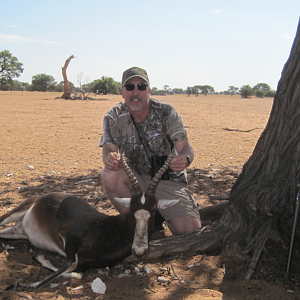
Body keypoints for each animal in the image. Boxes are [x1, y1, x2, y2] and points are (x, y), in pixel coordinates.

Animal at [0, 154, 178, 290]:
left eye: (153, 211)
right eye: (132, 210)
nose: (139, 250)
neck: (111, 229)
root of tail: (42, 197)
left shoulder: (87, 264)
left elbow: (77, 272)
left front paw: (38, 259)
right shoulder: (68, 237)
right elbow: (71, 263)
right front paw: (22, 284)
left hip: (18, 232)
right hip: (17, 212)